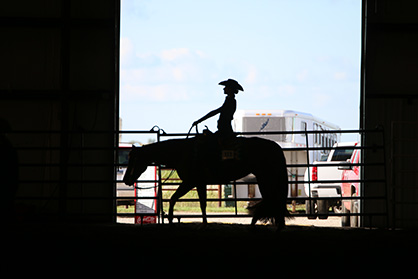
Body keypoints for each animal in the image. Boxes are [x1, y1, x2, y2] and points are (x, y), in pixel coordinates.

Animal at [122, 136, 290, 232]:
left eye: (133, 159)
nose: (126, 180)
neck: (182, 152)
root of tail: (276, 147)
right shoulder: (199, 183)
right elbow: (202, 203)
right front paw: (203, 224)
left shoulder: (189, 182)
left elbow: (173, 199)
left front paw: (171, 221)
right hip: (264, 179)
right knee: (272, 199)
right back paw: (262, 224)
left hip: (267, 178)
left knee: (273, 199)